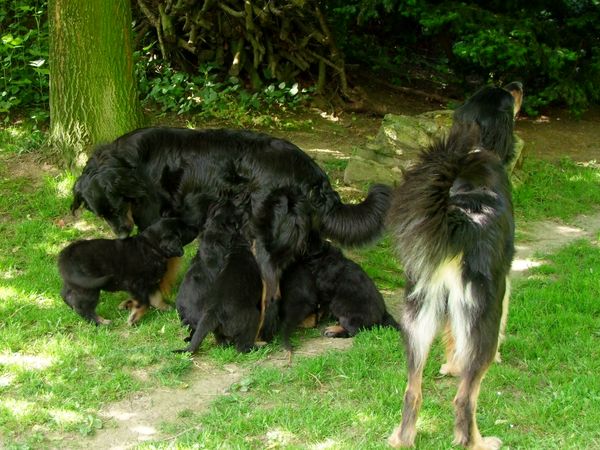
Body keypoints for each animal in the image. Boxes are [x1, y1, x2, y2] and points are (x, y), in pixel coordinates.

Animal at [58, 217, 196, 324]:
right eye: (184, 229)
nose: (196, 227)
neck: (152, 247)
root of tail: (66, 255)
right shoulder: (136, 284)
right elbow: (144, 302)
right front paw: (133, 319)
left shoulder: (151, 283)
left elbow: (157, 297)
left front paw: (166, 308)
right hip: (89, 287)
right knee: (83, 308)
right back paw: (102, 322)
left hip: (74, 283)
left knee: (66, 296)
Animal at [70, 126, 392, 304]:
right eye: (100, 213)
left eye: (114, 206)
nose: (122, 234)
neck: (133, 164)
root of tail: (311, 172)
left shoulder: (154, 223)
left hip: (264, 238)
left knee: (271, 286)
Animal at [384, 81, 520, 450]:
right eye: (509, 96)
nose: (518, 84)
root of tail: (461, 219)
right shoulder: (503, 281)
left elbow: (451, 338)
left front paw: (450, 366)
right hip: (481, 313)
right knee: (464, 398)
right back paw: (478, 442)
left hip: (418, 316)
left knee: (412, 390)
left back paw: (403, 437)